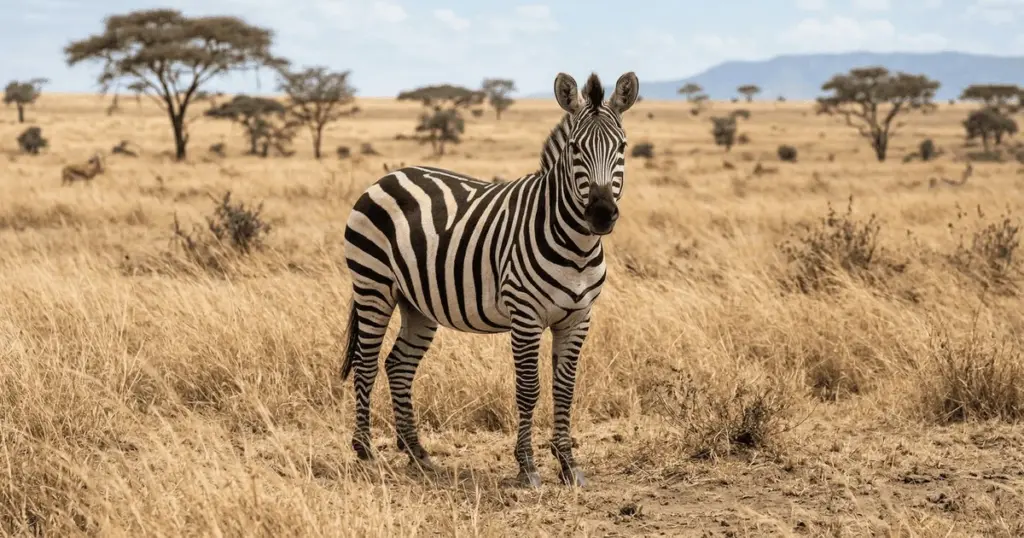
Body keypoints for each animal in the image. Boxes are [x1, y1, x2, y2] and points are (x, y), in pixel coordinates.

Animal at [341, 71, 639, 488]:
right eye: (576, 149)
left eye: (623, 147)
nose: (601, 214)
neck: (577, 247)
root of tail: (391, 175)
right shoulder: (526, 316)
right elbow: (529, 389)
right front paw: (527, 466)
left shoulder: (579, 318)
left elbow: (565, 389)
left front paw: (568, 465)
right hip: (373, 285)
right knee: (366, 362)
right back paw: (366, 452)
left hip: (416, 303)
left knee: (398, 365)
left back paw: (418, 453)